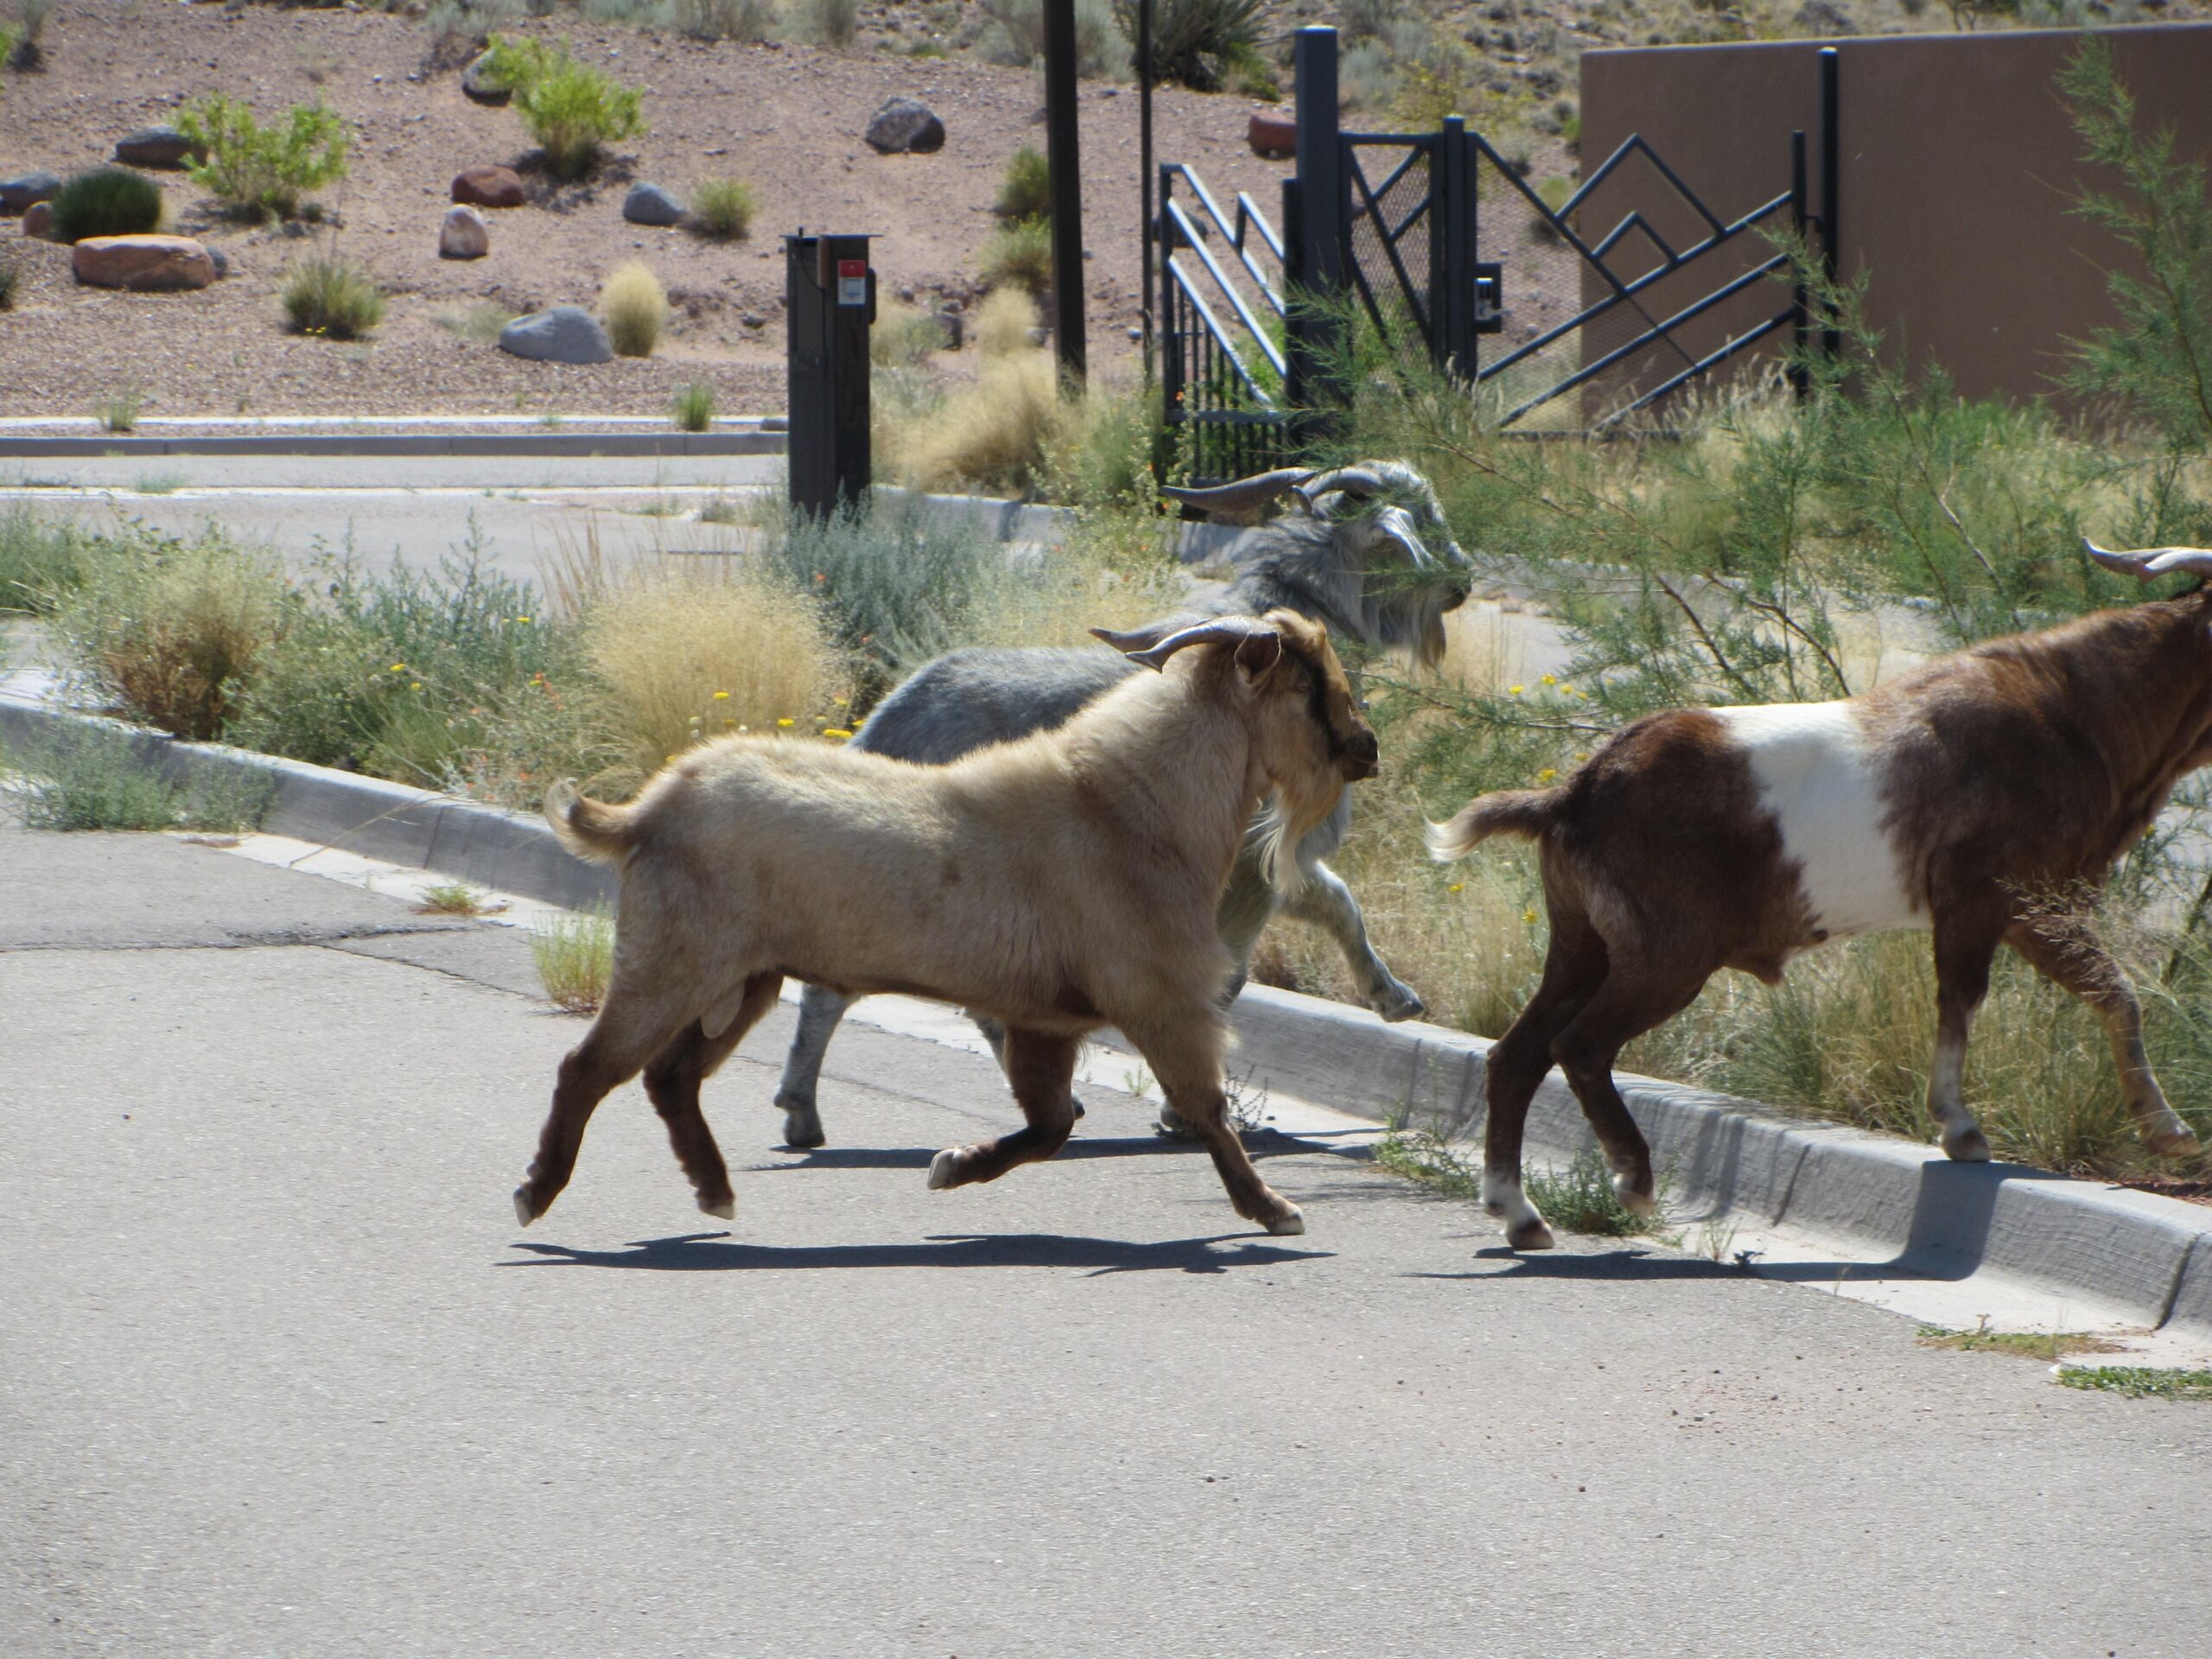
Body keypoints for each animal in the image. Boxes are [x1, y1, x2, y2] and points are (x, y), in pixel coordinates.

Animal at [515, 611, 1377, 1237]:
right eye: (1310, 684)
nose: (1367, 747)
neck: (1130, 806)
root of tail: (645, 813)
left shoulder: (1044, 1020)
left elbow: (1053, 1124)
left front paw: (955, 1165)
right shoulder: (1160, 998)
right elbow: (1204, 1110)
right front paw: (1274, 1210)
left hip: (746, 977)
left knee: (671, 1076)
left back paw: (713, 1190)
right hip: (673, 961)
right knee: (590, 1068)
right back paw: (537, 1193)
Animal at [772, 460, 1473, 1149]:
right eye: (1422, 521)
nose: (1462, 580)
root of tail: (884, 722)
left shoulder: (1268, 863)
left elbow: (1334, 905)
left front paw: (1394, 998)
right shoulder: (1249, 865)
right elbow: (1240, 971)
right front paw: (1183, 1111)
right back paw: (803, 1111)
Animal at [1426, 539, 2211, 1251]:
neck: (2071, 709)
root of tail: (1574, 792)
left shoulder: (2005, 911)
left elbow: (1995, 999)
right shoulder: (2006, 900)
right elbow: (2076, 993)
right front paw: (2153, 1130)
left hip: (1581, 943)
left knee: (1516, 1056)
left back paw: (1520, 1215)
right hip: (1666, 959)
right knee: (1580, 1045)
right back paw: (1635, 1180)